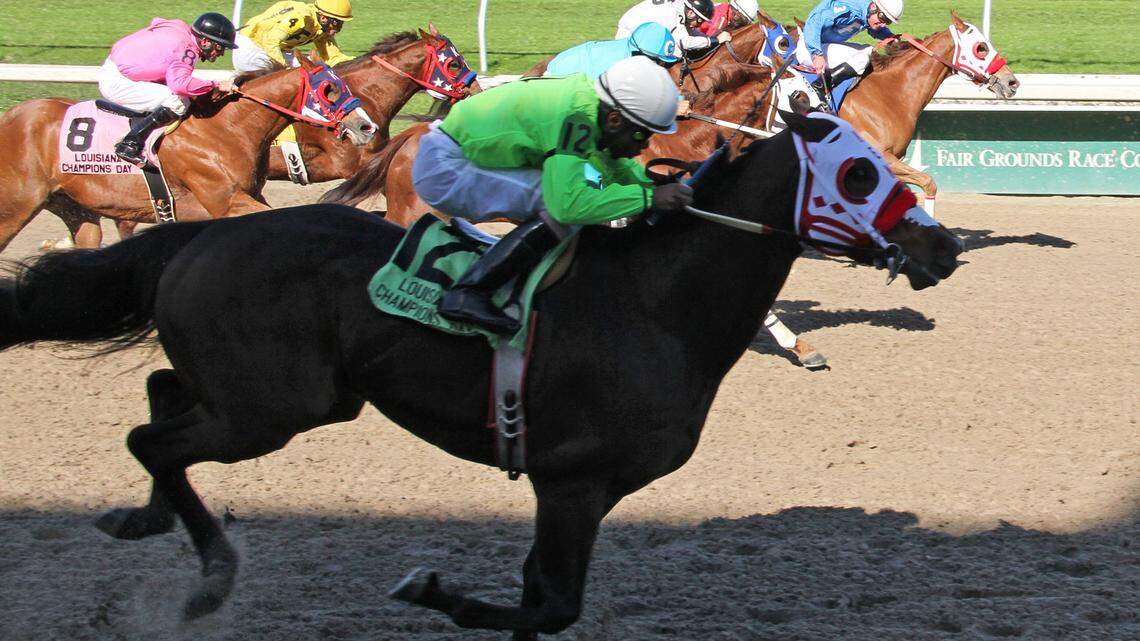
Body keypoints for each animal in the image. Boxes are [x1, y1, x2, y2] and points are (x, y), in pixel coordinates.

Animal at [0, 54, 376, 252]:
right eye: (329, 89)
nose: (366, 126)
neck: (226, 128)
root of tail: (11, 117)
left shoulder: (246, 197)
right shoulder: (225, 201)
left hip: (74, 208)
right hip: (15, 206)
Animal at [0, 111, 963, 638]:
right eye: (857, 172)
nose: (943, 246)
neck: (655, 304)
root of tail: (200, 234)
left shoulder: (578, 489)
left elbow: (541, 600)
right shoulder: (572, 480)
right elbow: (551, 603)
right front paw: (430, 589)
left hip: (269, 394)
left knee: (162, 403)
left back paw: (143, 517)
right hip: (273, 409)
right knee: (152, 434)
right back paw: (208, 580)